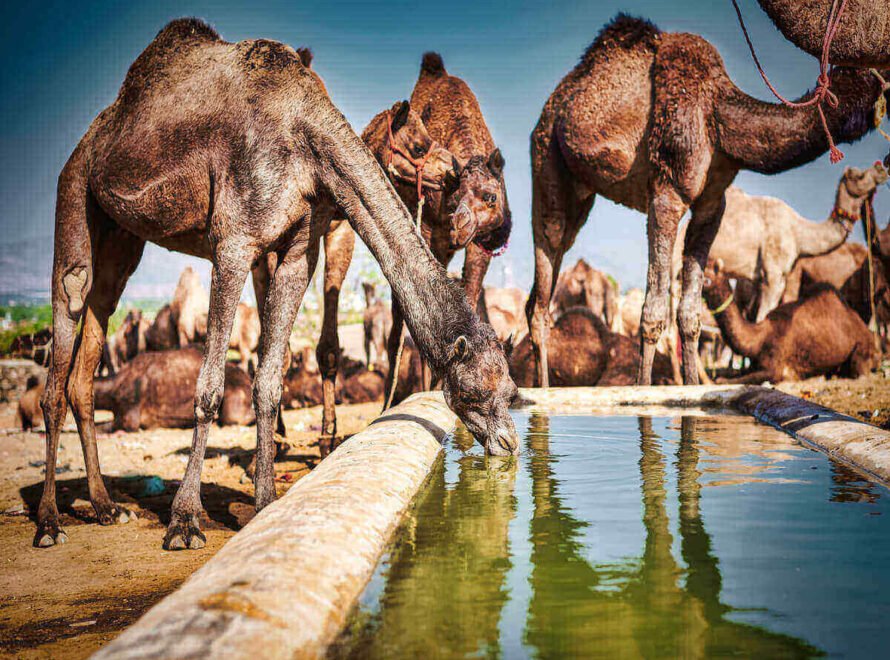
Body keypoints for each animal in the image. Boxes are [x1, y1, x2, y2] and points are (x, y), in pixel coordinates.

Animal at [37, 19, 518, 550]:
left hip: (121, 238)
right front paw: (184, 521)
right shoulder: (234, 244)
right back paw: (49, 522)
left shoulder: (298, 250)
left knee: (93, 336)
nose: (509, 443)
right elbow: (210, 387)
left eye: (511, 389)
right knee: (68, 313)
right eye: (475, 391)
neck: (302, 130)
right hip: (74, 188)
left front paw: (266, 504)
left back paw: (105, 507)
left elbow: (269, 380)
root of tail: (91, 138)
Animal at [674, 164, 887, 322]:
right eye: (859, 176)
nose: (882, 169)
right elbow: (762, 318)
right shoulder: (773, 274)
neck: (798, 233)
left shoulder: (772, 278)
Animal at [702, 260, 876, 383]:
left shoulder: (774, 369)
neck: (759, 338)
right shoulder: (754, 365)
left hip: (863, 349)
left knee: (858, 371)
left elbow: (725, 381)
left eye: (706, 279)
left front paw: (719, 379)